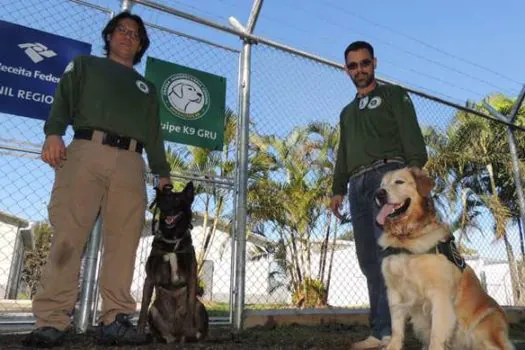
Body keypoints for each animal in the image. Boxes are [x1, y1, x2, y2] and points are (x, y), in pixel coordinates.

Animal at [137, 182, 209, 344]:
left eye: (177, 200)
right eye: (163, 200)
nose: (165, 209)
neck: (172, 238)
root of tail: (176, 335)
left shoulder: (192, 276)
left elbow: (189, 306)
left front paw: (190, 329)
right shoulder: (149, 278)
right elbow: (143, 307)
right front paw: (138, 332)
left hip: (200, 306)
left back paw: (193, 336)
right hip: (154, 311)